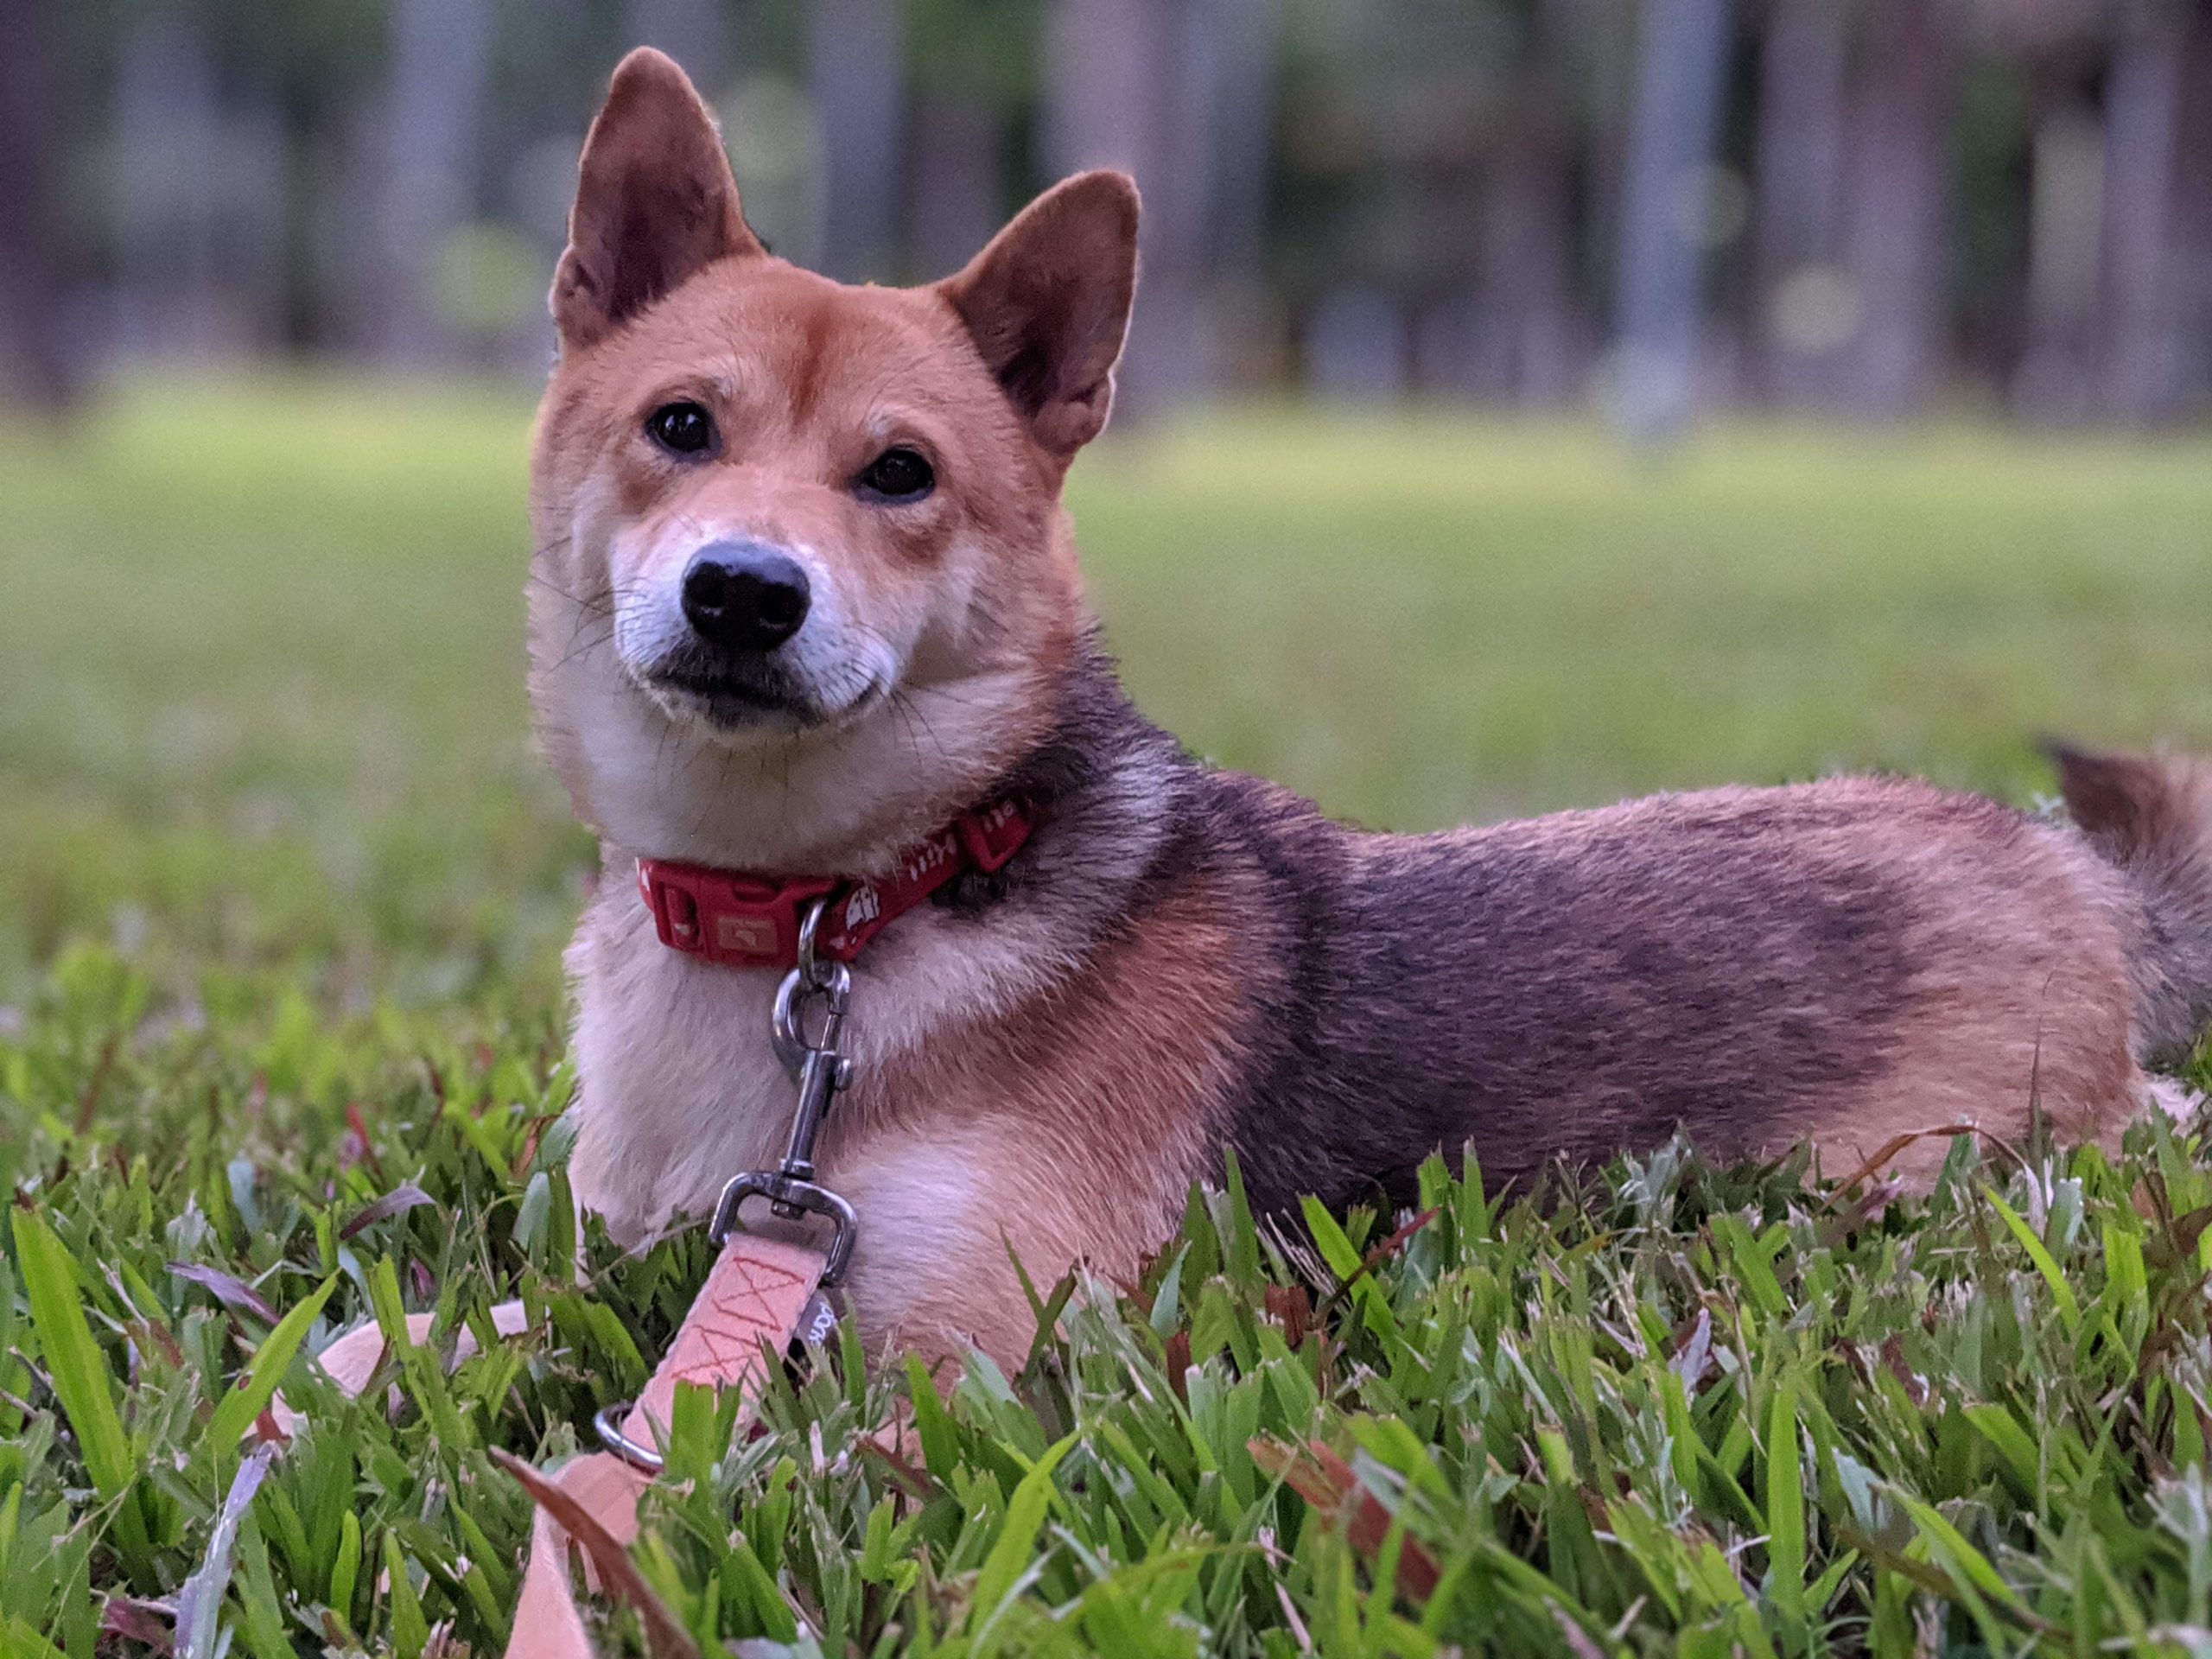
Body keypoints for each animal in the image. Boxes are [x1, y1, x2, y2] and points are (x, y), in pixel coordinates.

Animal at [535, 52, 2212, 1371]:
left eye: (901, 475)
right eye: (679, 427)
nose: (744, 595)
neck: (840, 904)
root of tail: (2059, 862)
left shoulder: (965, 1340)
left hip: (1960, 1159)